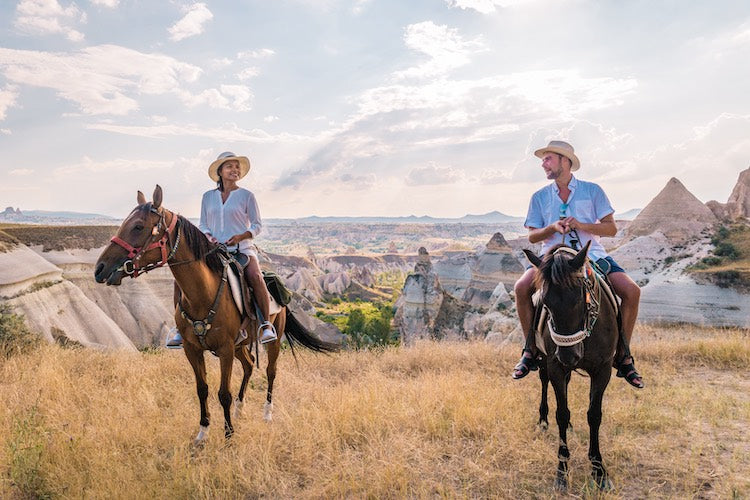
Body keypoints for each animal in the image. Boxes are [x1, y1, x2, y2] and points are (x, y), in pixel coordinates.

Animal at [95, 187, 340, 446]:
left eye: (139, 226)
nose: (100, 268)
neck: (202, 294)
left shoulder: (224, 349)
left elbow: (224, 393)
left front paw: (229, 436)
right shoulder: (193, 349)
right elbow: (202, 389)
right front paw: (203, 433)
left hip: (270, 340)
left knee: (271, 371)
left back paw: (267, 413)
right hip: (240, 344)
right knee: (250, 364)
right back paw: (240, 409)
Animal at [524, 241, 620, 492]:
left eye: (580, 297)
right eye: (545, 302)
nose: (569, 356)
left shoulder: (603, 369)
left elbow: (594, 415)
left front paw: (599, 471)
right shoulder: (555, 366)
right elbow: (562, 413)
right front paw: (562, 470)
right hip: (546, 361)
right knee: (545, 383)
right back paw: (543, 420)